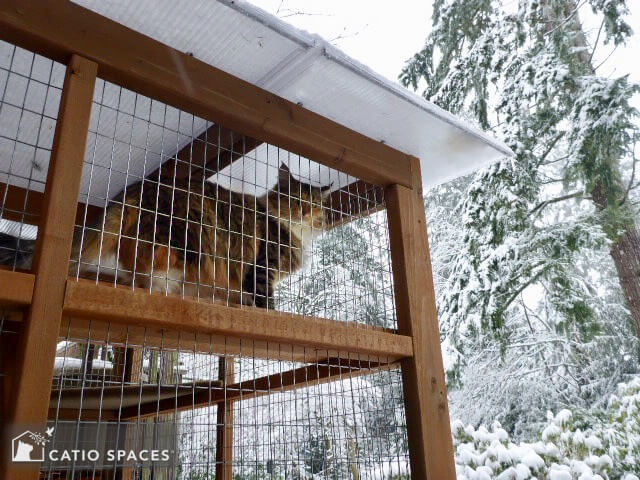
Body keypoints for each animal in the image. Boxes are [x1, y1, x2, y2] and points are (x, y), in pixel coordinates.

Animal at [0, 163, 330, 310]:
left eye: (314, 203)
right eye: (294, 198)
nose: (304, 211)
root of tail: (138, 187)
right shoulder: (263, 265)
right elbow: (264, 299)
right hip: (184, 241)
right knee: (150, 275)